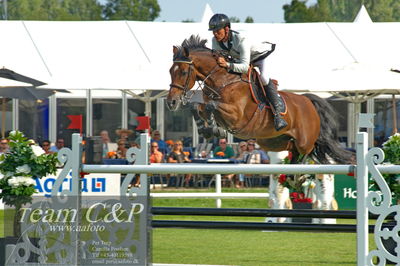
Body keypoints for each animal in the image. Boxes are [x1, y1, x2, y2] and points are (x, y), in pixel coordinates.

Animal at [167, 35, 352, 164]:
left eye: (183, 72)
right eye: (170, 71)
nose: (171, 102)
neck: (222, 80)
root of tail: (307, 101)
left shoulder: (236, 116)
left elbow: (211, 106)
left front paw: (214, 128)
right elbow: (197, 106)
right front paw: (207, 129)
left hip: (304, 142)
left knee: (309, 150)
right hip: (273, 142)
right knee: (293, 152)